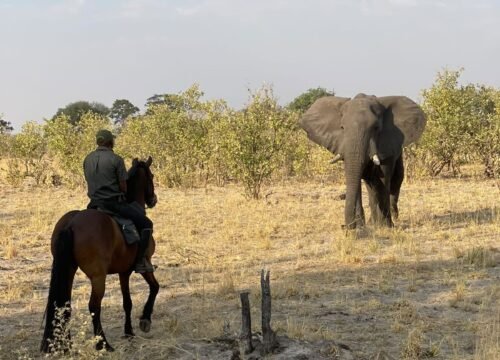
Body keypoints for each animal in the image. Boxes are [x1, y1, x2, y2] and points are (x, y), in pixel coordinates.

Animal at [41, 157, 159, 352]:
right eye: (152, 176)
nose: (153, 200)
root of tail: (72, 223)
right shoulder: (145, 265)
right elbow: (155, 287)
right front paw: (145, 320)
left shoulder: (124, 272)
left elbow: (127, 302)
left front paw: (129, 332)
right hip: (98, 277)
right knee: (94, 306)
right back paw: (103, 343)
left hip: (69, 270)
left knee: (64, 305)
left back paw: (67, 344)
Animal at [298, 93, 424, 228]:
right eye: (342, 127)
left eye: (376, 128)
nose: (345, 226)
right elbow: (356, 176)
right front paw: (360, 226)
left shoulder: (386, 143)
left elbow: (384, 178)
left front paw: (385, 227)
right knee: (371, 183)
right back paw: (372, 222)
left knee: (396, 179)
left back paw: (391, 219)